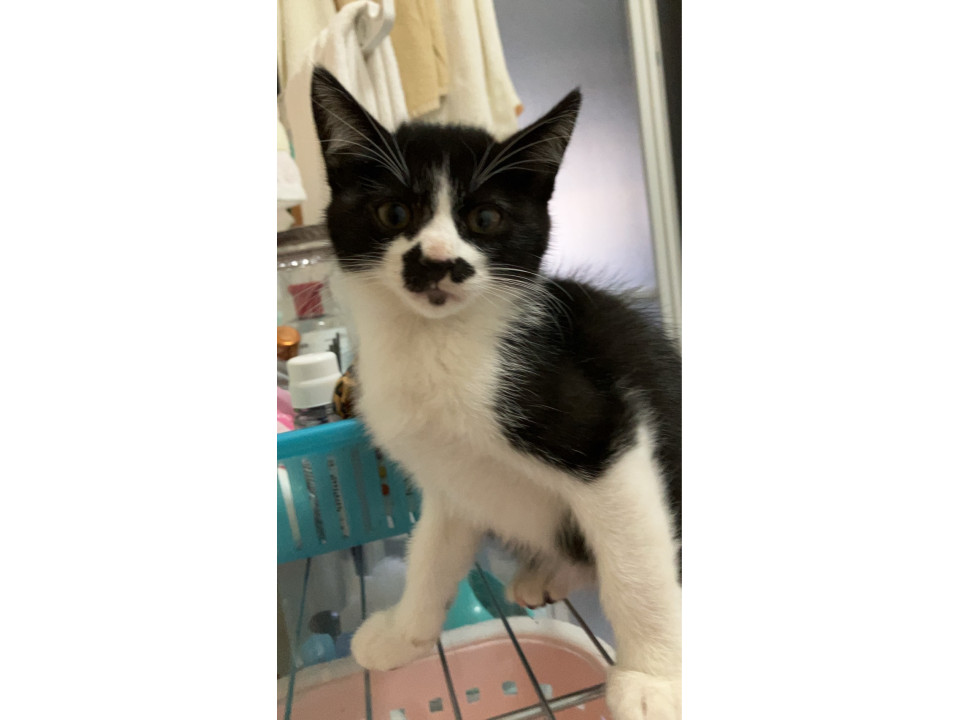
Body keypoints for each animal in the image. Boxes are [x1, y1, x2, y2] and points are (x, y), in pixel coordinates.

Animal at [310, 67, 682, 720]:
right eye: (392, 211)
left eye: (485, 220)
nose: (437, 261)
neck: (435, 341)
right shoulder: (451, 477)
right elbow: (431, 553)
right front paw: (403, 634)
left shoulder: (605, 436)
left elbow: (636, 564)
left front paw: (653, 677)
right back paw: (545, 573)